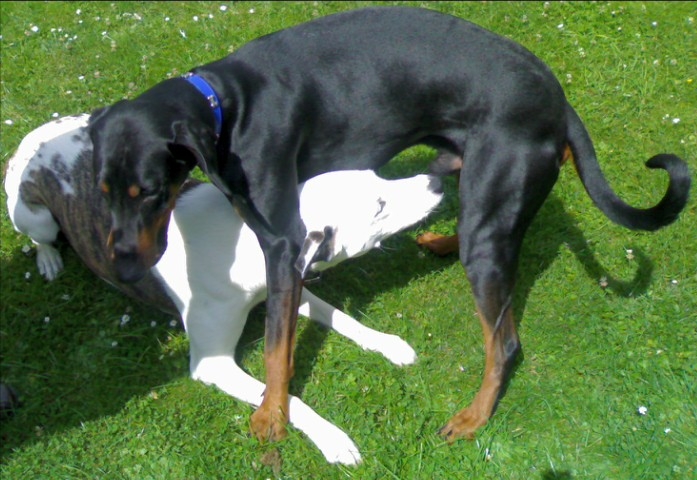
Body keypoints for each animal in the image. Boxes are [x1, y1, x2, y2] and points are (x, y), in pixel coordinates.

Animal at [4, 114, 444, 464]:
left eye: (378, 178)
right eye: (379, 206)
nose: (437, 181)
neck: (250, 242)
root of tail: (36, 134)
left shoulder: (287, 286)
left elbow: (341, 317)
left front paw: (387, 343)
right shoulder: (212, 363)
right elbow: (285, 397)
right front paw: (331, 437)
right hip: (33, 215)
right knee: (40, 236)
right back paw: (48, 259)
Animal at [86, 6, 691, 442]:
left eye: (150, 192)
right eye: (105, 191)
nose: (124, 265)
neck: (226, 108)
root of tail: (559, 101)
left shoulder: (282, 243)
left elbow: (278, 347)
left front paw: (272, 416)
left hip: (489, 214)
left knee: (506, 344)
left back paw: (473, 417)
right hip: (470, 176)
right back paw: (443, 239)